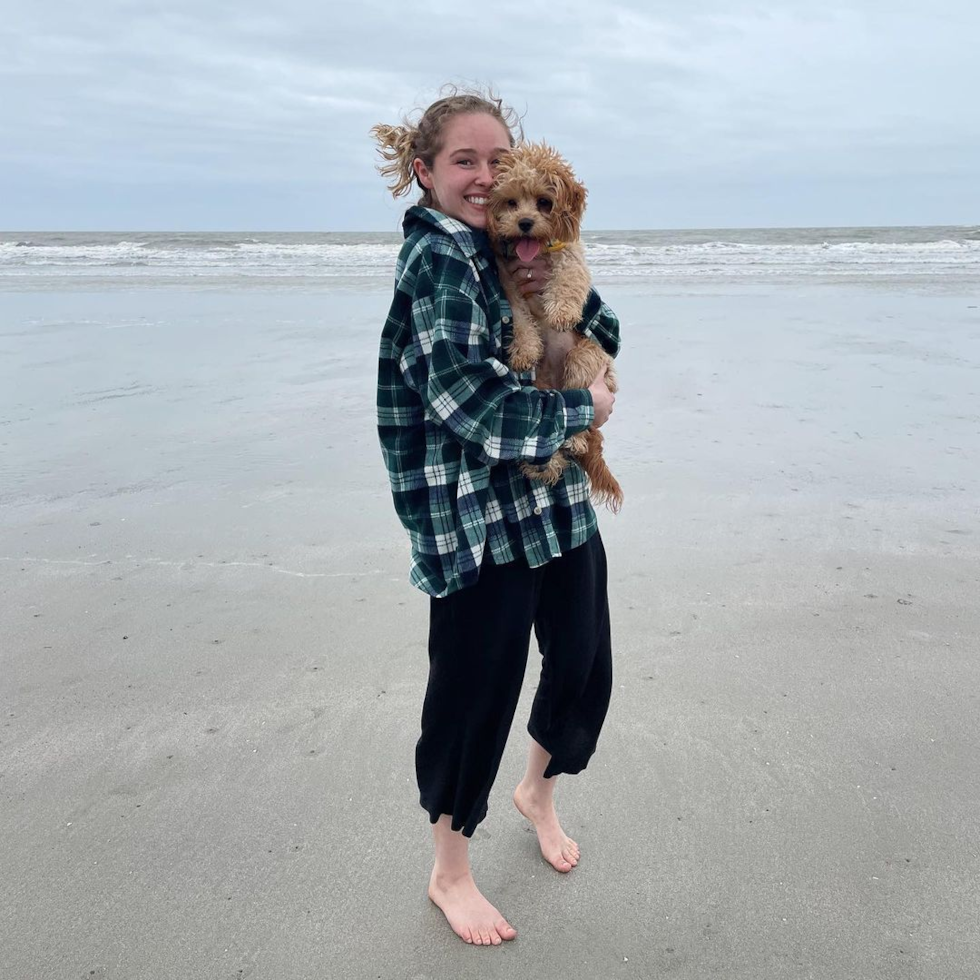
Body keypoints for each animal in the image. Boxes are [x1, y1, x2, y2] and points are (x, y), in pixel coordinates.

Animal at [488, 144, 624, 512]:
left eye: (544, 202)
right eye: (511, 202)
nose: (524, 223)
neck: (535, 252)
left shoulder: (571, 255)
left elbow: (567, 277)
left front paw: (561, 312)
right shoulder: (508, 281)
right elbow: (521, 317)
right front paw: (524, 349)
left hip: (584, 359)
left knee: (583, 417)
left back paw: (575, 442)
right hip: (539, 389)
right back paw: (543, 465)